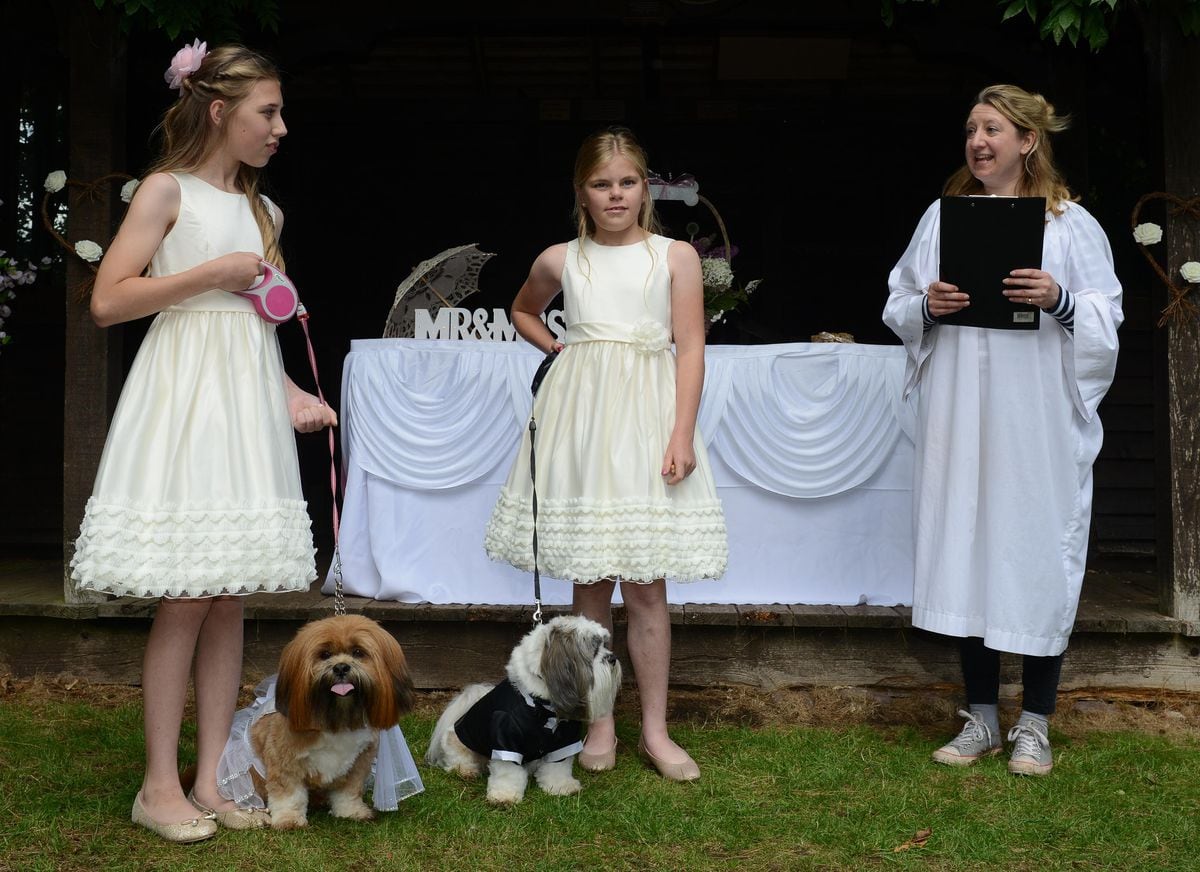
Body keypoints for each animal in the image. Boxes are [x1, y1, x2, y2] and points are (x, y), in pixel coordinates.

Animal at [246, 614, 415, 830]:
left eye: (358, 652)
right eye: (325, 654)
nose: (341, 667)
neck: (336, 718)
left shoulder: (358, 763)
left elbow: (349, 791)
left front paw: (350, 811)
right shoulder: (284, 762)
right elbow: (289, 794)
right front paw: (288, 819)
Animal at [427, 614, 624, 806]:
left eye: (604, 644)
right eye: (593, 649)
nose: (613, 658)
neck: (543, 706)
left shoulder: (563, 741)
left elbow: (558, 767)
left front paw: (561, 786)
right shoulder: (506, 739)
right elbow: (507, 772)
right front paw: (504, 796)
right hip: (458, 742)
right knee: (458, 760)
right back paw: (466, 770)